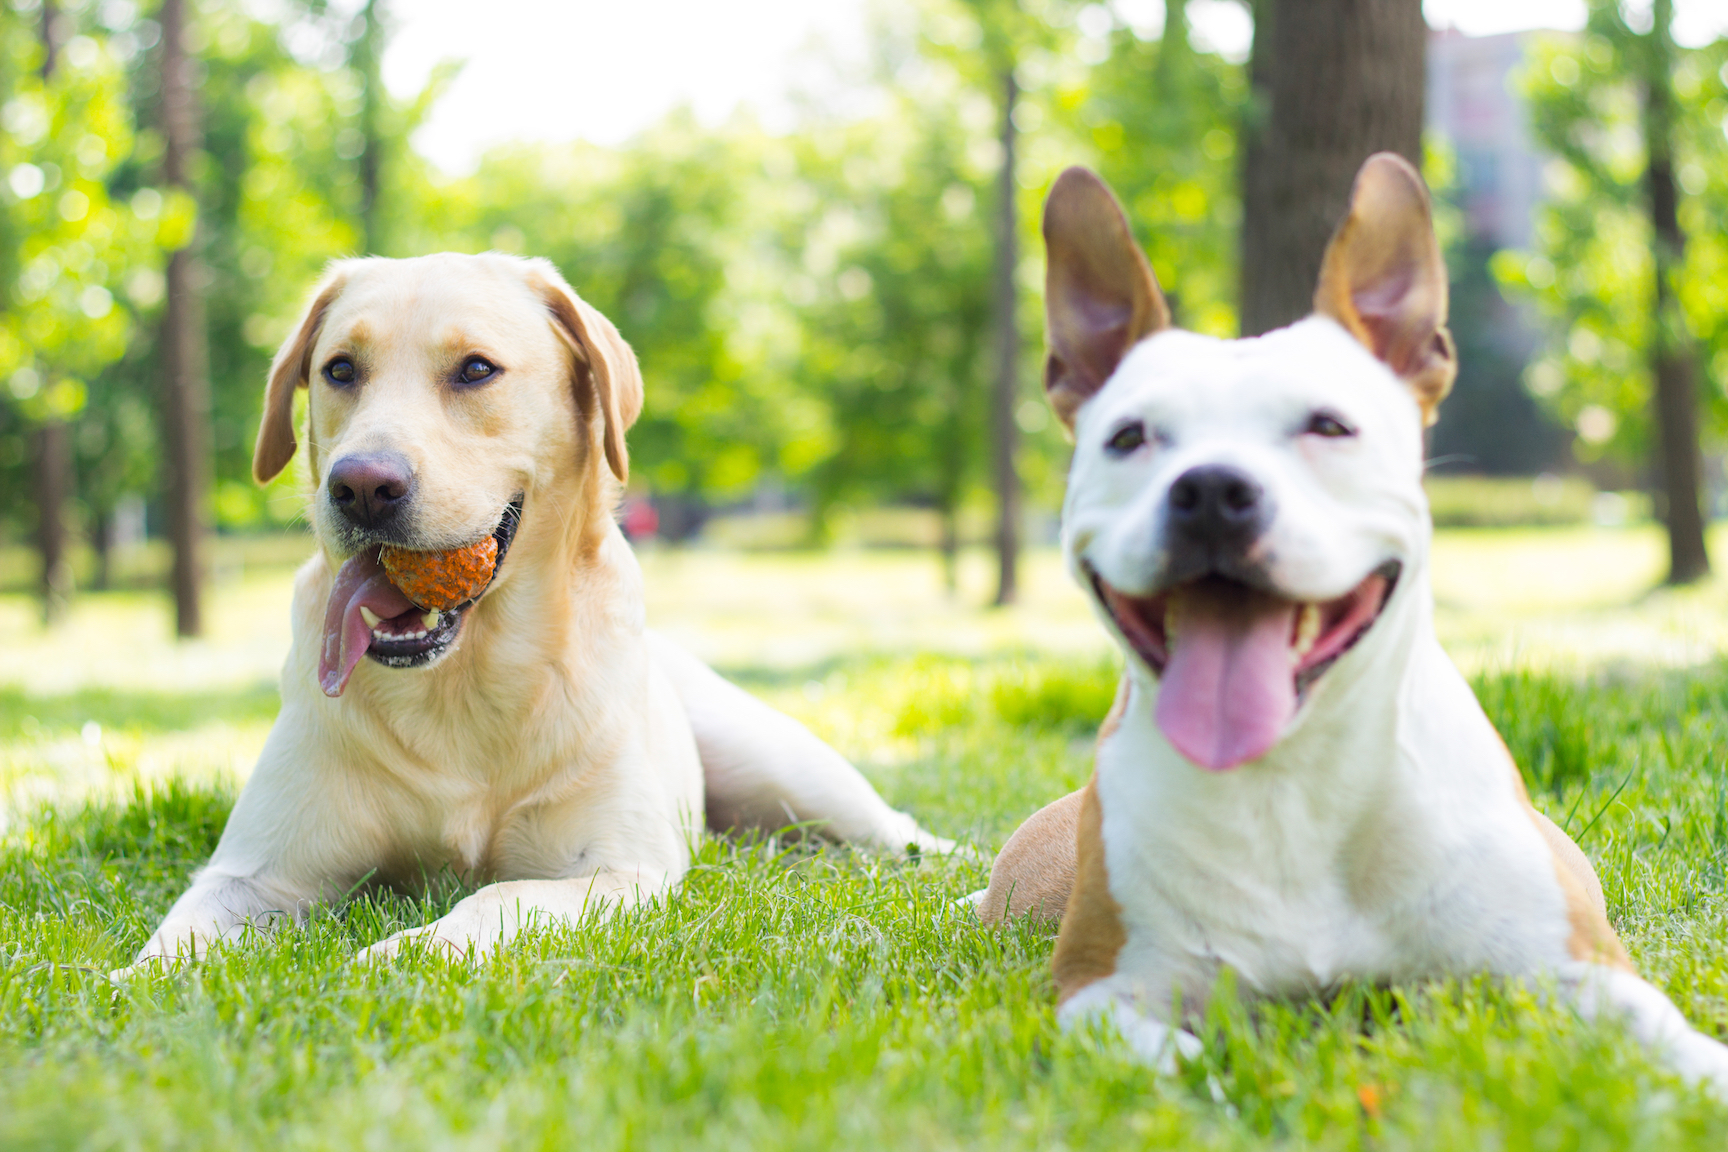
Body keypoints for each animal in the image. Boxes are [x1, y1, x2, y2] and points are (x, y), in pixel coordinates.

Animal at [125, 252, 946, 974]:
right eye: (340, 371)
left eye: (476, 369)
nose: (360, 487)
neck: (461, 682)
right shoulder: (254, 871)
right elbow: (175, 942)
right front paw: (131, 988)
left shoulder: (620, 870)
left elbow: (499, 895)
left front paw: (407, 951)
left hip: (786, 767)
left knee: (898, 833)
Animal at [974, 158, 1728, 1098]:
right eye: (1129, 438)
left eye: (1328, 425)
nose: (1212, 488)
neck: (1294, 776)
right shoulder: (1100, 991)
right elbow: (1172, 1060)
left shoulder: (1574, 965)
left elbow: (1662, 1030)